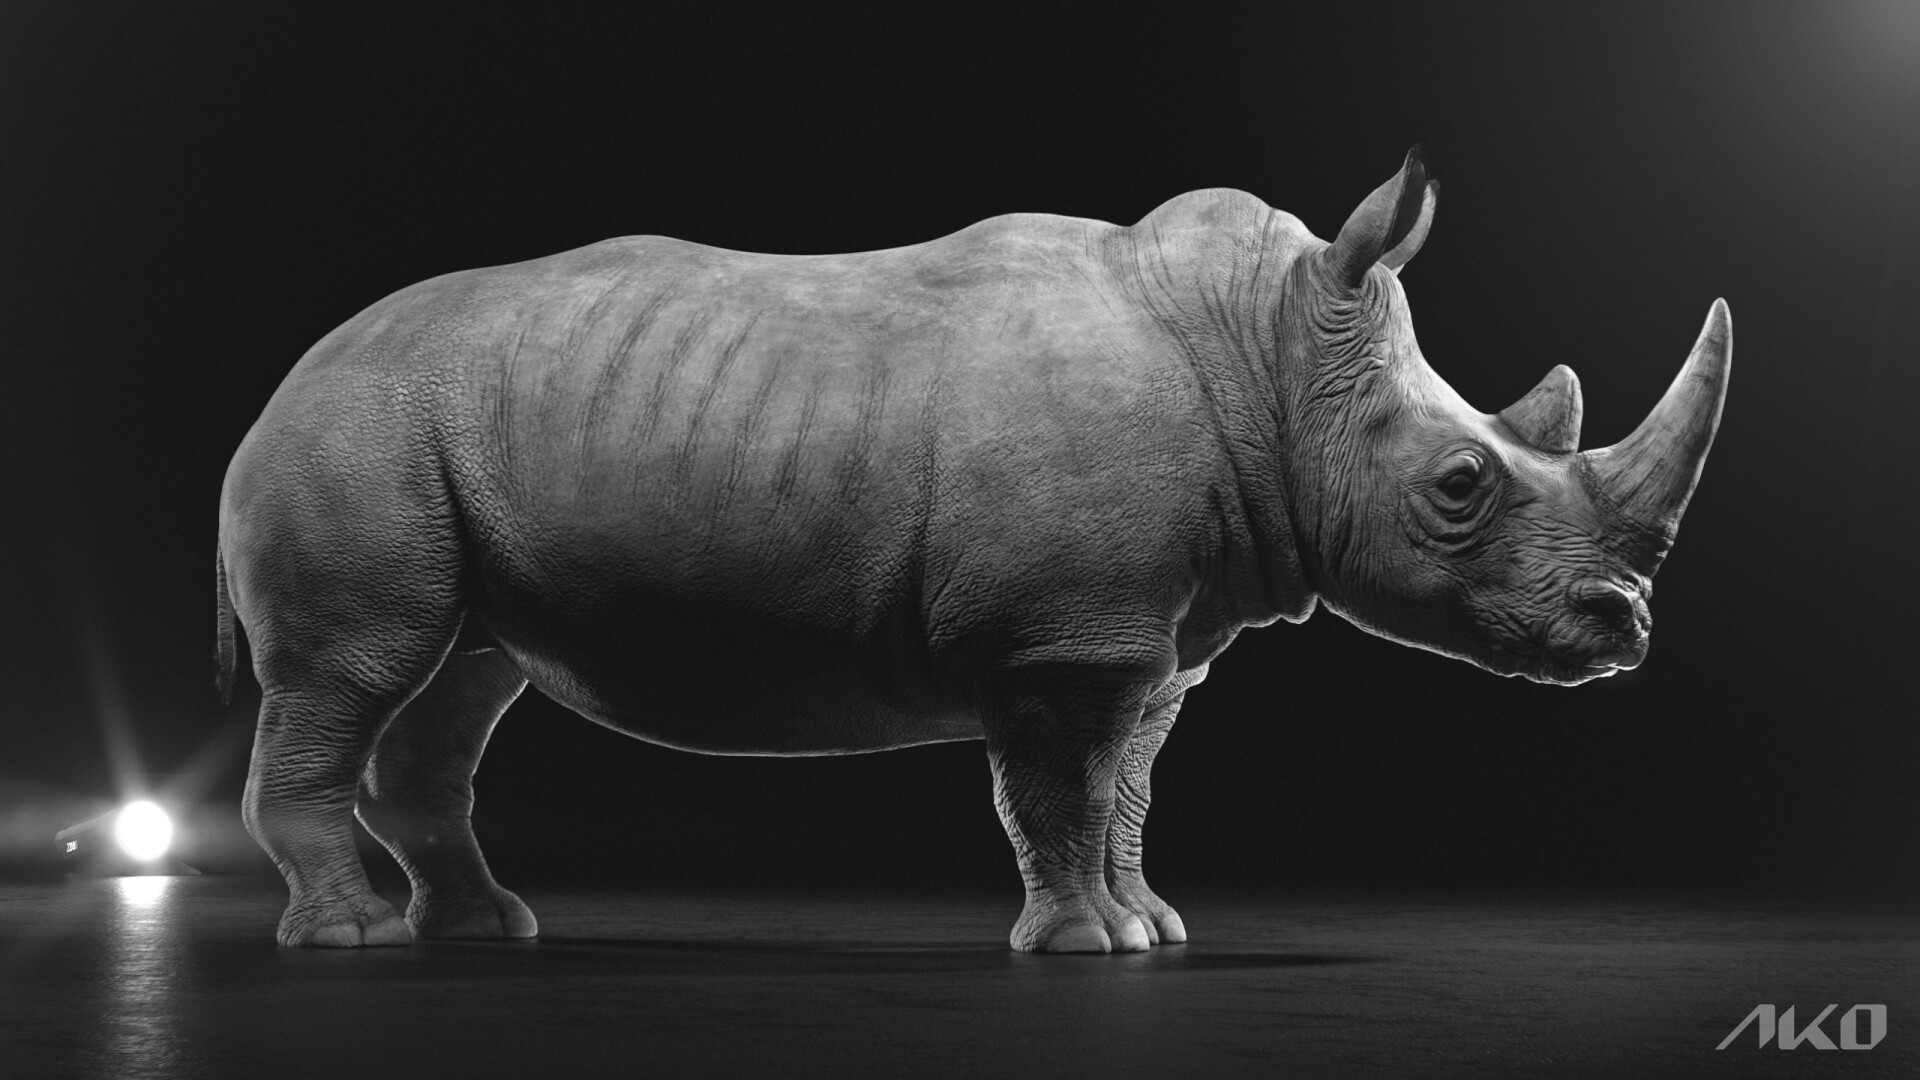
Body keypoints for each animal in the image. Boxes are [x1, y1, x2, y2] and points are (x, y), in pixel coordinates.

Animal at [216, 147, 1729, 951]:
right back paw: (352, 938)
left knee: (462, 678)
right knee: (358, 670)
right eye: (1462, 484)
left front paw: (1149, 931)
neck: (1273, 362)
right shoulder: (1061, 634)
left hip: (437, 439)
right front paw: (1078, 946)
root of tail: (282, 384)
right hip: (359, 432)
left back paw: (487, 929)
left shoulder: (1152, 635)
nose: (1625, 625)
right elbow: (1059, 793)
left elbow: (1128, 792)